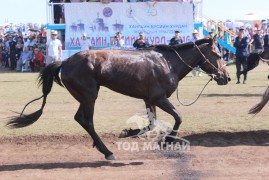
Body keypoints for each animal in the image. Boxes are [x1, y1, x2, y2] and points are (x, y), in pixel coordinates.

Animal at [7, 38, 228, 160]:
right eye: (218, 55)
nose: (226, 77)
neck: (168, 63)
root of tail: (64, 62)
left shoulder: (149, 100)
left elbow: (151, 123)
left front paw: (128, 132)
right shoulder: (159, 98)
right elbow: (178, 117)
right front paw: (166, 141)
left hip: (85, 97)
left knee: (80, 119)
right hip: (89, 96)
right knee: (87, 121)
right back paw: (107, 151)